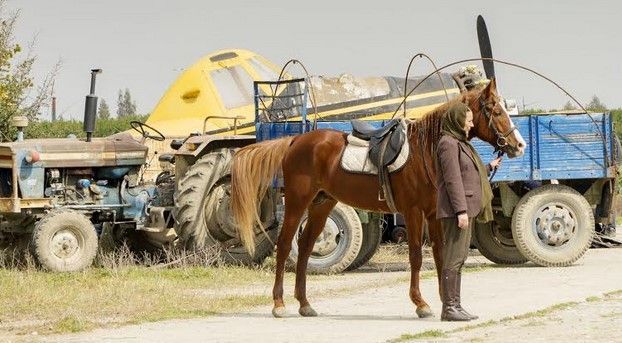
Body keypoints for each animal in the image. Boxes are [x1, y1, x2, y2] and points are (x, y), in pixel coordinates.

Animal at [233, 78, 528, 320]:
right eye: (497, 111)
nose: (520, 145)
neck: (424, 152)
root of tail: (295, 141)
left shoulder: (433, 213)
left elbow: (440, 255)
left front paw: (446, 302)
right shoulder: (413, 212)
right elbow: (416, 256)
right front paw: (421, 304)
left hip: (322, 204)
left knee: (305, 247)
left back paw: (305, 304)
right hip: (297, 202)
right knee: (285, 245)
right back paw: (279, 304)